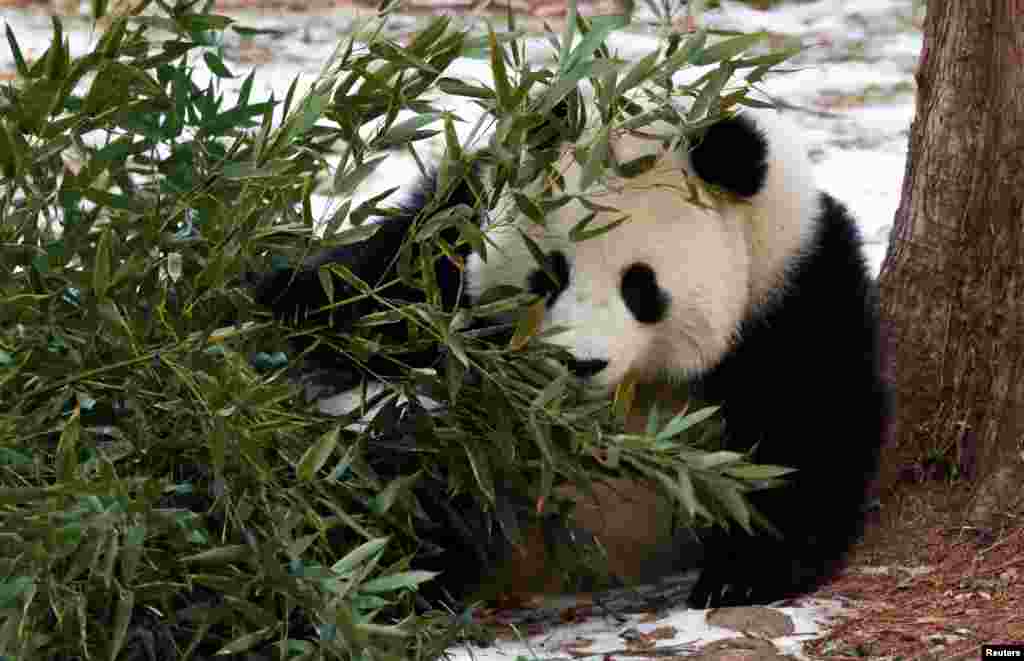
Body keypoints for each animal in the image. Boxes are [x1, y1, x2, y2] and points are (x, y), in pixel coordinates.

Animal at [253, 99, 888, 609]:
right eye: (549, 275)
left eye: (641, 287)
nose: (581, 364)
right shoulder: (450, 238)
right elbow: (369, 287)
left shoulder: (790, 288)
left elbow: (808, 429)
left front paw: (742, 576)